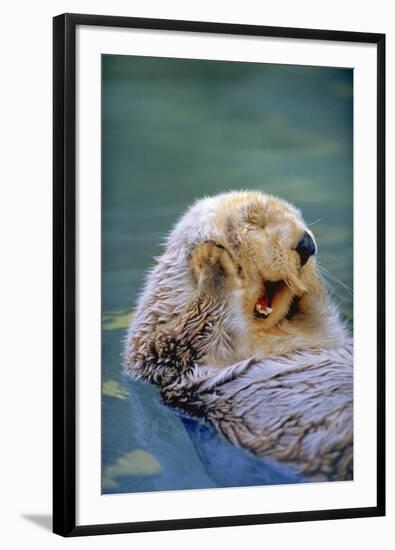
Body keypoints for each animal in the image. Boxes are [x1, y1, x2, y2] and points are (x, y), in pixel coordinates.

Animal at [123, 192, 352, 480]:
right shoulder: (165, 352)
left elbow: (322, 321)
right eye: (255, 223)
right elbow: (193, 331)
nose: (307, 244)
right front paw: (212, 259)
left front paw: (308, 286)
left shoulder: (322, 335)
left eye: (300, 220)